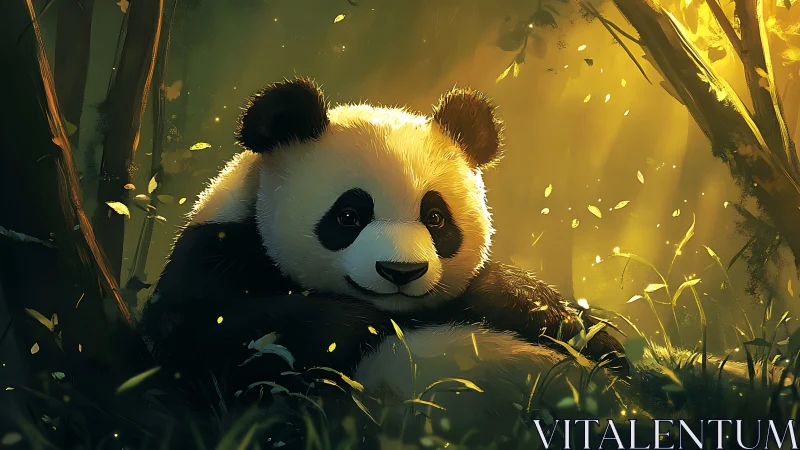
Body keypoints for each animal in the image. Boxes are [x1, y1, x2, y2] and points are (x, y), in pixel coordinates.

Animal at [137, 77, 629, 440]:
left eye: (435, 217)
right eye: (349, 216)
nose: (401, 271)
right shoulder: (215, 255)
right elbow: (212, 337)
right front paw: (356, 328)